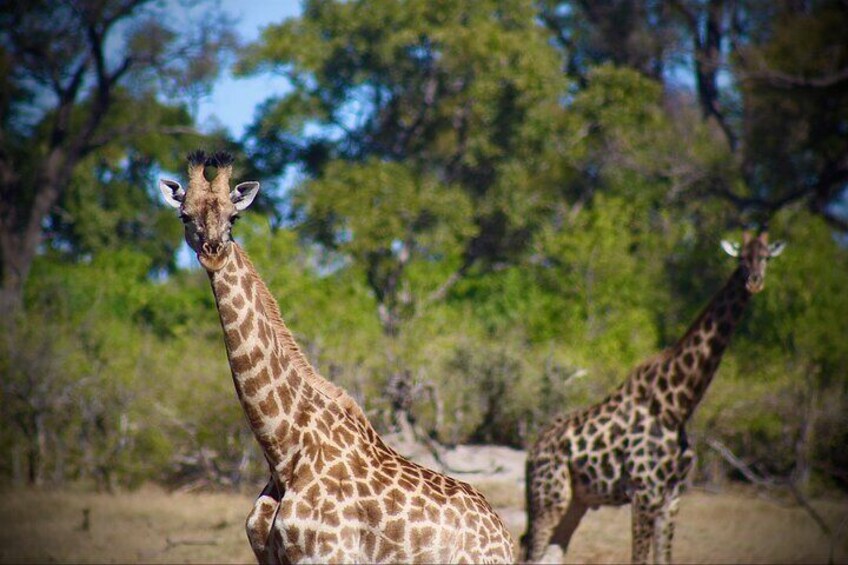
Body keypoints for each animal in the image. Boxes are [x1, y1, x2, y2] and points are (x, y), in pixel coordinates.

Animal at [161, 151, 516, 564]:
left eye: (234, 217)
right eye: (185, 215)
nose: (213, 253)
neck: (283, 454)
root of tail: (504, 536)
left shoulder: (328, 555)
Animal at [520, 229, 784, 564]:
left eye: (766, 257)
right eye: (741, 258)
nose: (754, 281)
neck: (677, 405)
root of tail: (532, 452)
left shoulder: (672, 496)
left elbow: (664, 559)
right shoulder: (644, 492)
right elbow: (639, 558)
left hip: (576, 502)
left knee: (550, 555)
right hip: (548, 499)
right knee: (530, 552)